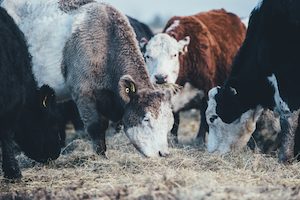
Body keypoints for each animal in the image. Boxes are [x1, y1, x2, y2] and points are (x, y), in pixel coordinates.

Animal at [2, 0, 175, 159]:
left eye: (168, 122)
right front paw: (101, 158)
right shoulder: (83, 93)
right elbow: (95, 126)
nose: (163, 153)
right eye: (146, 119)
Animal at [142, 9, 246, 142]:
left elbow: (205, 115)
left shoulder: (207, 90)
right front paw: (173, 139)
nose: (161, 78)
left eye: (174, 55)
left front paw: (200, 140)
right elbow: (175, 119)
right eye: (147, 56)